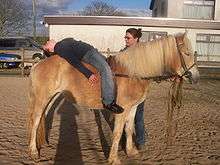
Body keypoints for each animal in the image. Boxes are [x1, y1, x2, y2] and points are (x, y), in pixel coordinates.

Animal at [27, 31, 199, 164]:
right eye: (187, 53)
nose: (195, 77)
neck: (132, 73)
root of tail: (38, 64)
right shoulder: (123, 109)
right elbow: (117, 132)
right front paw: (114, 159)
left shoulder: (133, 107)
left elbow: (129, 129)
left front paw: (131, 151)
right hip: (42, 98)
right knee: (35, 121)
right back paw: (34, 152)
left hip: (51, 98)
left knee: (43, 117)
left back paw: (44, 143)